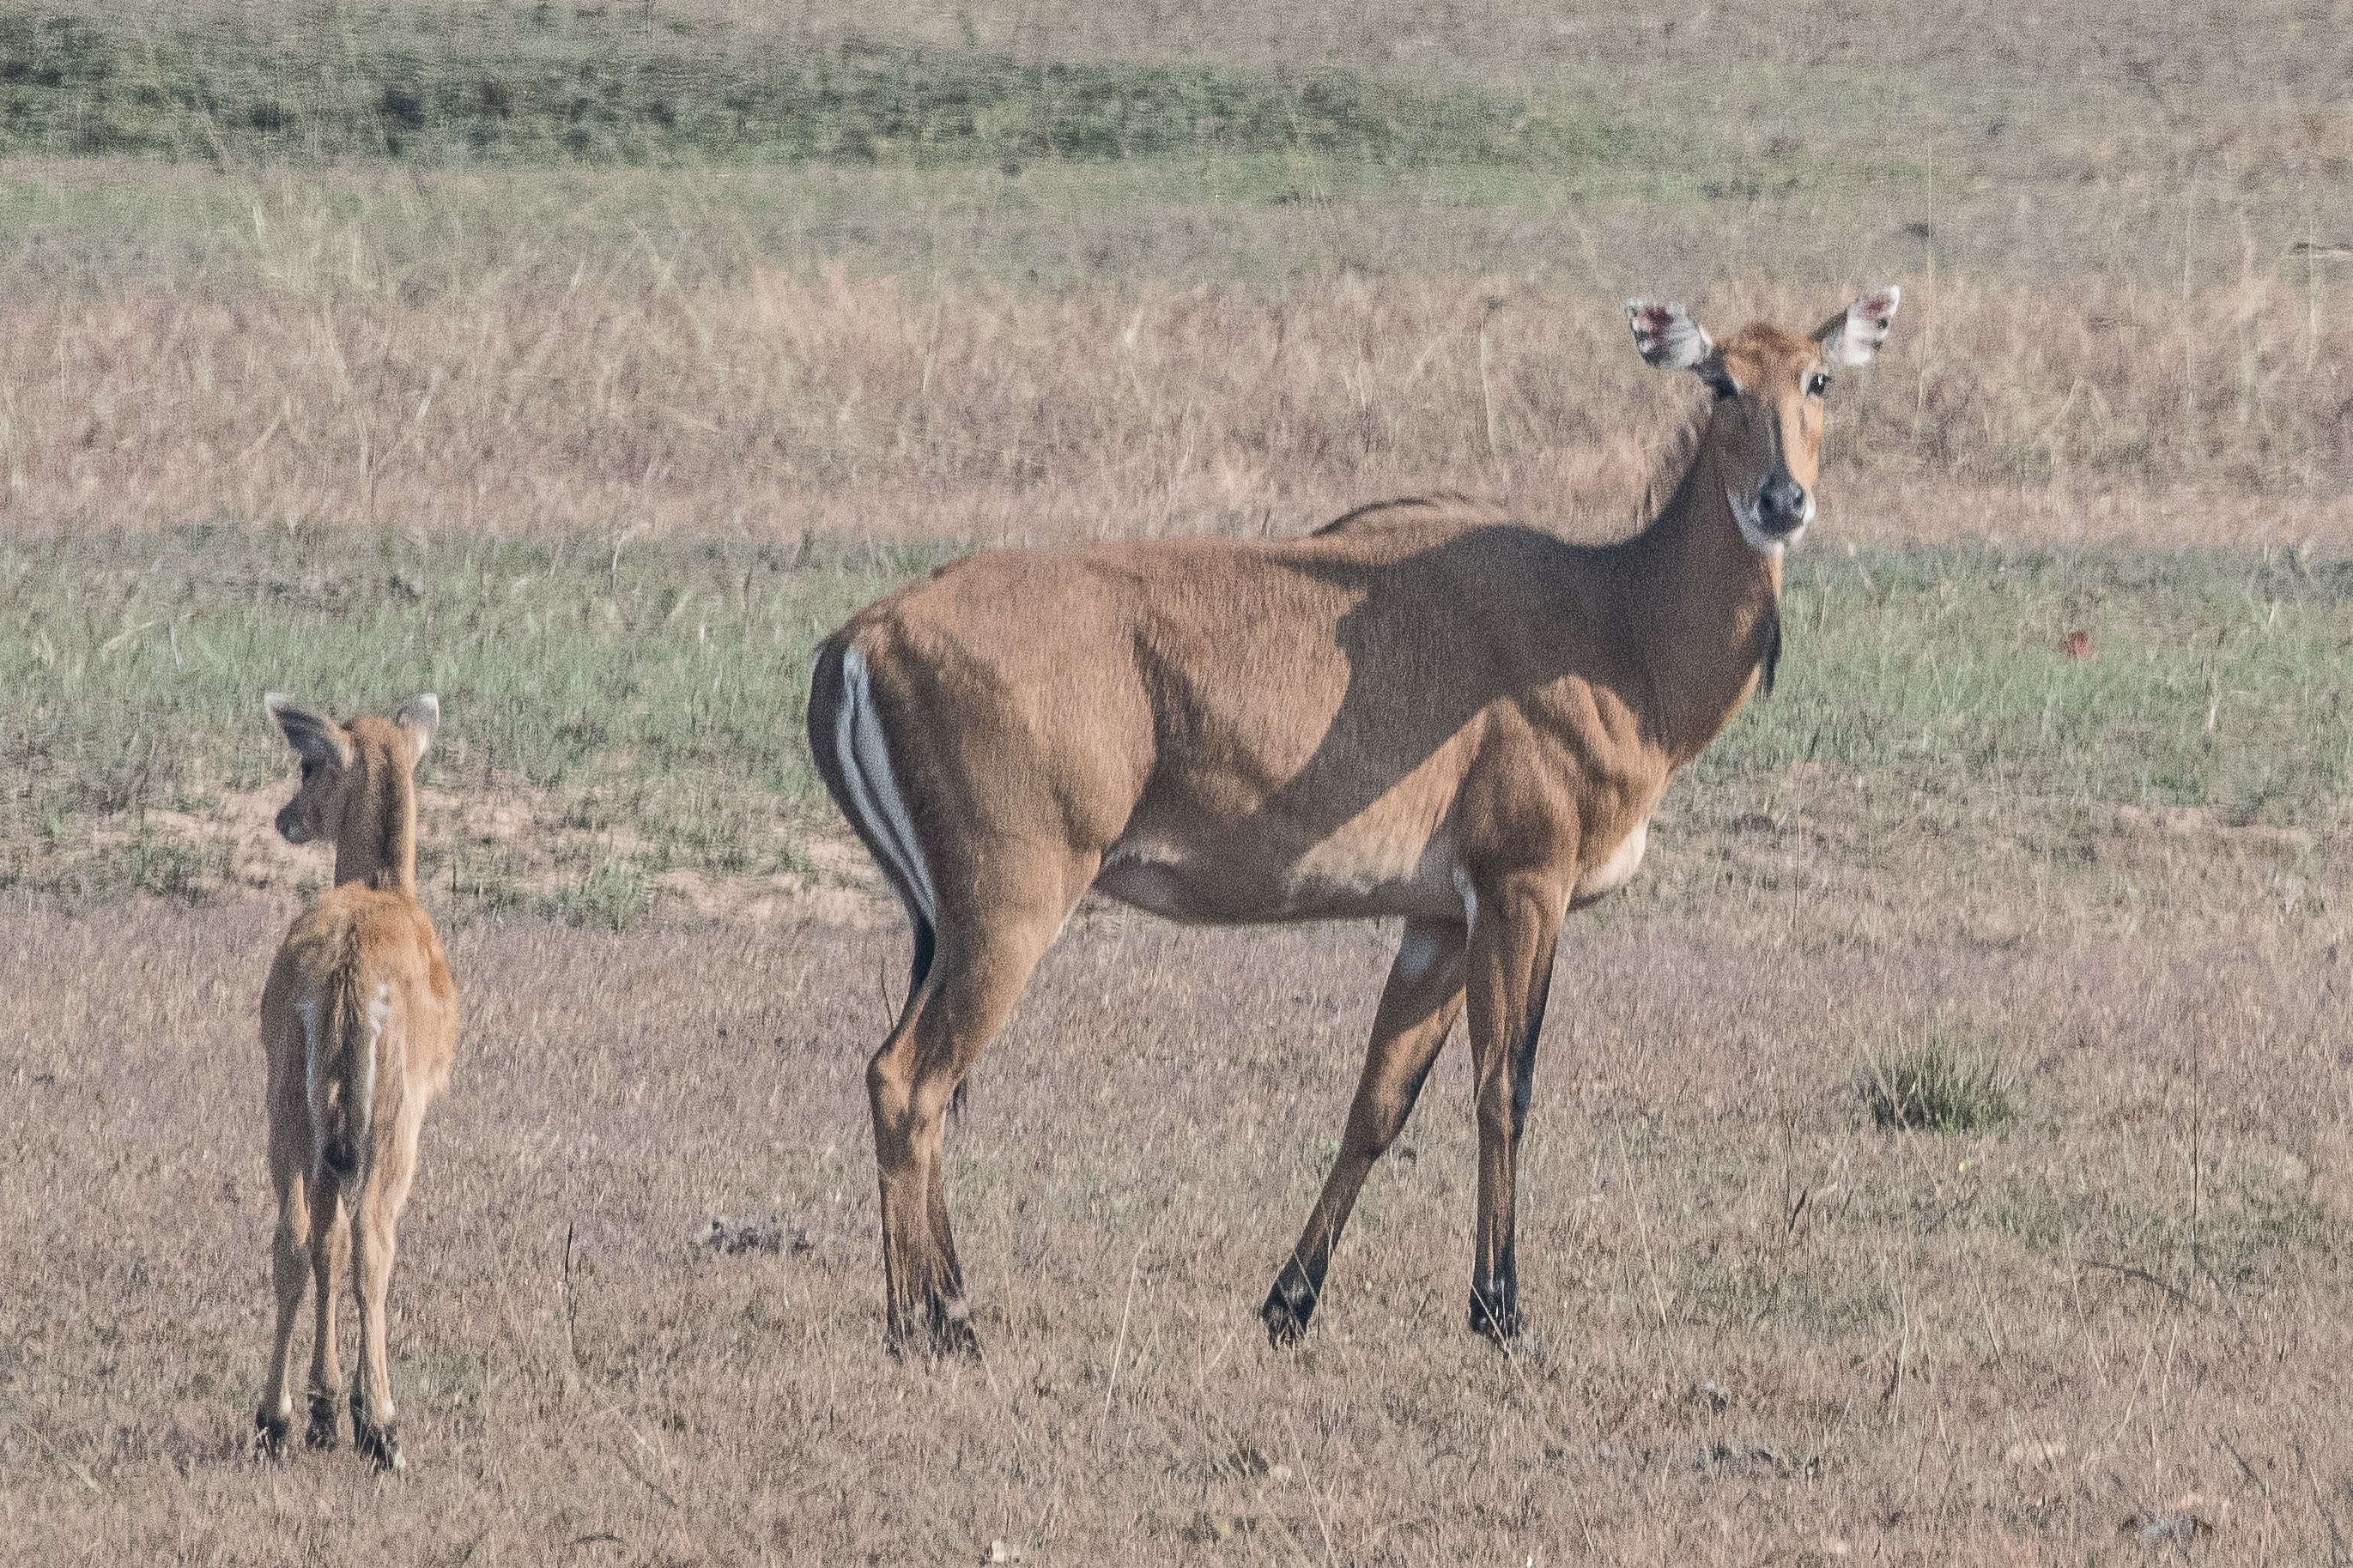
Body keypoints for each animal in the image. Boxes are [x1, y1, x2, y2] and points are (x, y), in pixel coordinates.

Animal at [254, 693, 457, 1471]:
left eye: (309, 766)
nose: (285, 817)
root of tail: (344, 973)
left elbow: (323, 1240)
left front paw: (321, 1408)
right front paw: (347, 1413)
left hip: (289, 1094)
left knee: (294, 1233)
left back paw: (274, 1420)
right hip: (393, 1109)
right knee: (374, 1232)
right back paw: (384, 1428)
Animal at [806, 289, 1899, 1355]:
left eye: (1818, 378)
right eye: (1718, 380)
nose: (1779, 503)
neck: (1614, 623)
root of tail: (859, 640)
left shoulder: (1440, 919)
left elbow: (1379, 1100)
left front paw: (1289, 1304)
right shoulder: (1521, 887)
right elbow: (1503, 1087)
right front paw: (1500, 1313)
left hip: (960, 922)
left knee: (920, 1083)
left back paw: (942, 1312)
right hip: (1009, 910)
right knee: (906, 1078)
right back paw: (936, 1325)